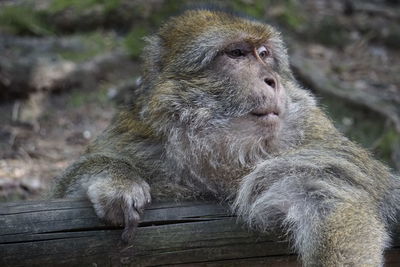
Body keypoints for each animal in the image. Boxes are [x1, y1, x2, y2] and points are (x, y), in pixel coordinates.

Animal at [53, 9, 400, 266]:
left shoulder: (316, 143)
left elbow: (328, 196)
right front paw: (118, 180)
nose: (272, 80)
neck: (223, 154)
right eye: (237, 54)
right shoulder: (140, 136)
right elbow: (64, 192)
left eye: (264, 54)